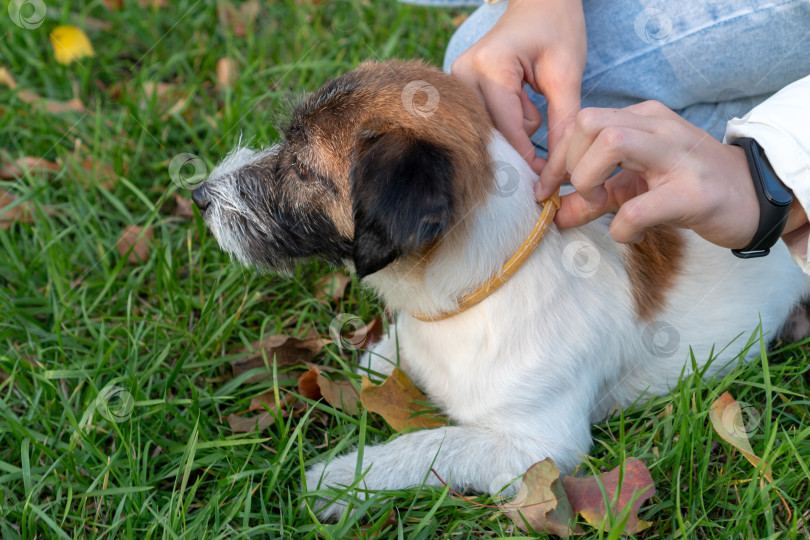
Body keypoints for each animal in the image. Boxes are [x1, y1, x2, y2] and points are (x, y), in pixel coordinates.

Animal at [191, 59, 808, 520]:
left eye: (300, 168)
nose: (199, 194)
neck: (467, 300)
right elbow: (390, 354)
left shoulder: (541, 450)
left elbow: (435, 442)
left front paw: (342, 478)